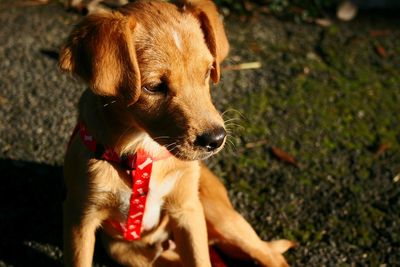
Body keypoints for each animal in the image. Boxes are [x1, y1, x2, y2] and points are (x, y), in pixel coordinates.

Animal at [59, 1, 294, 266]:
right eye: (153, 87)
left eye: (207, 71)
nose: (216, 139)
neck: (143, 152)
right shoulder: (80, 217)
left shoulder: (187, 211)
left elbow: (200, 259)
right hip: (128, 252)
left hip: (221, 217)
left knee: (271, 255)